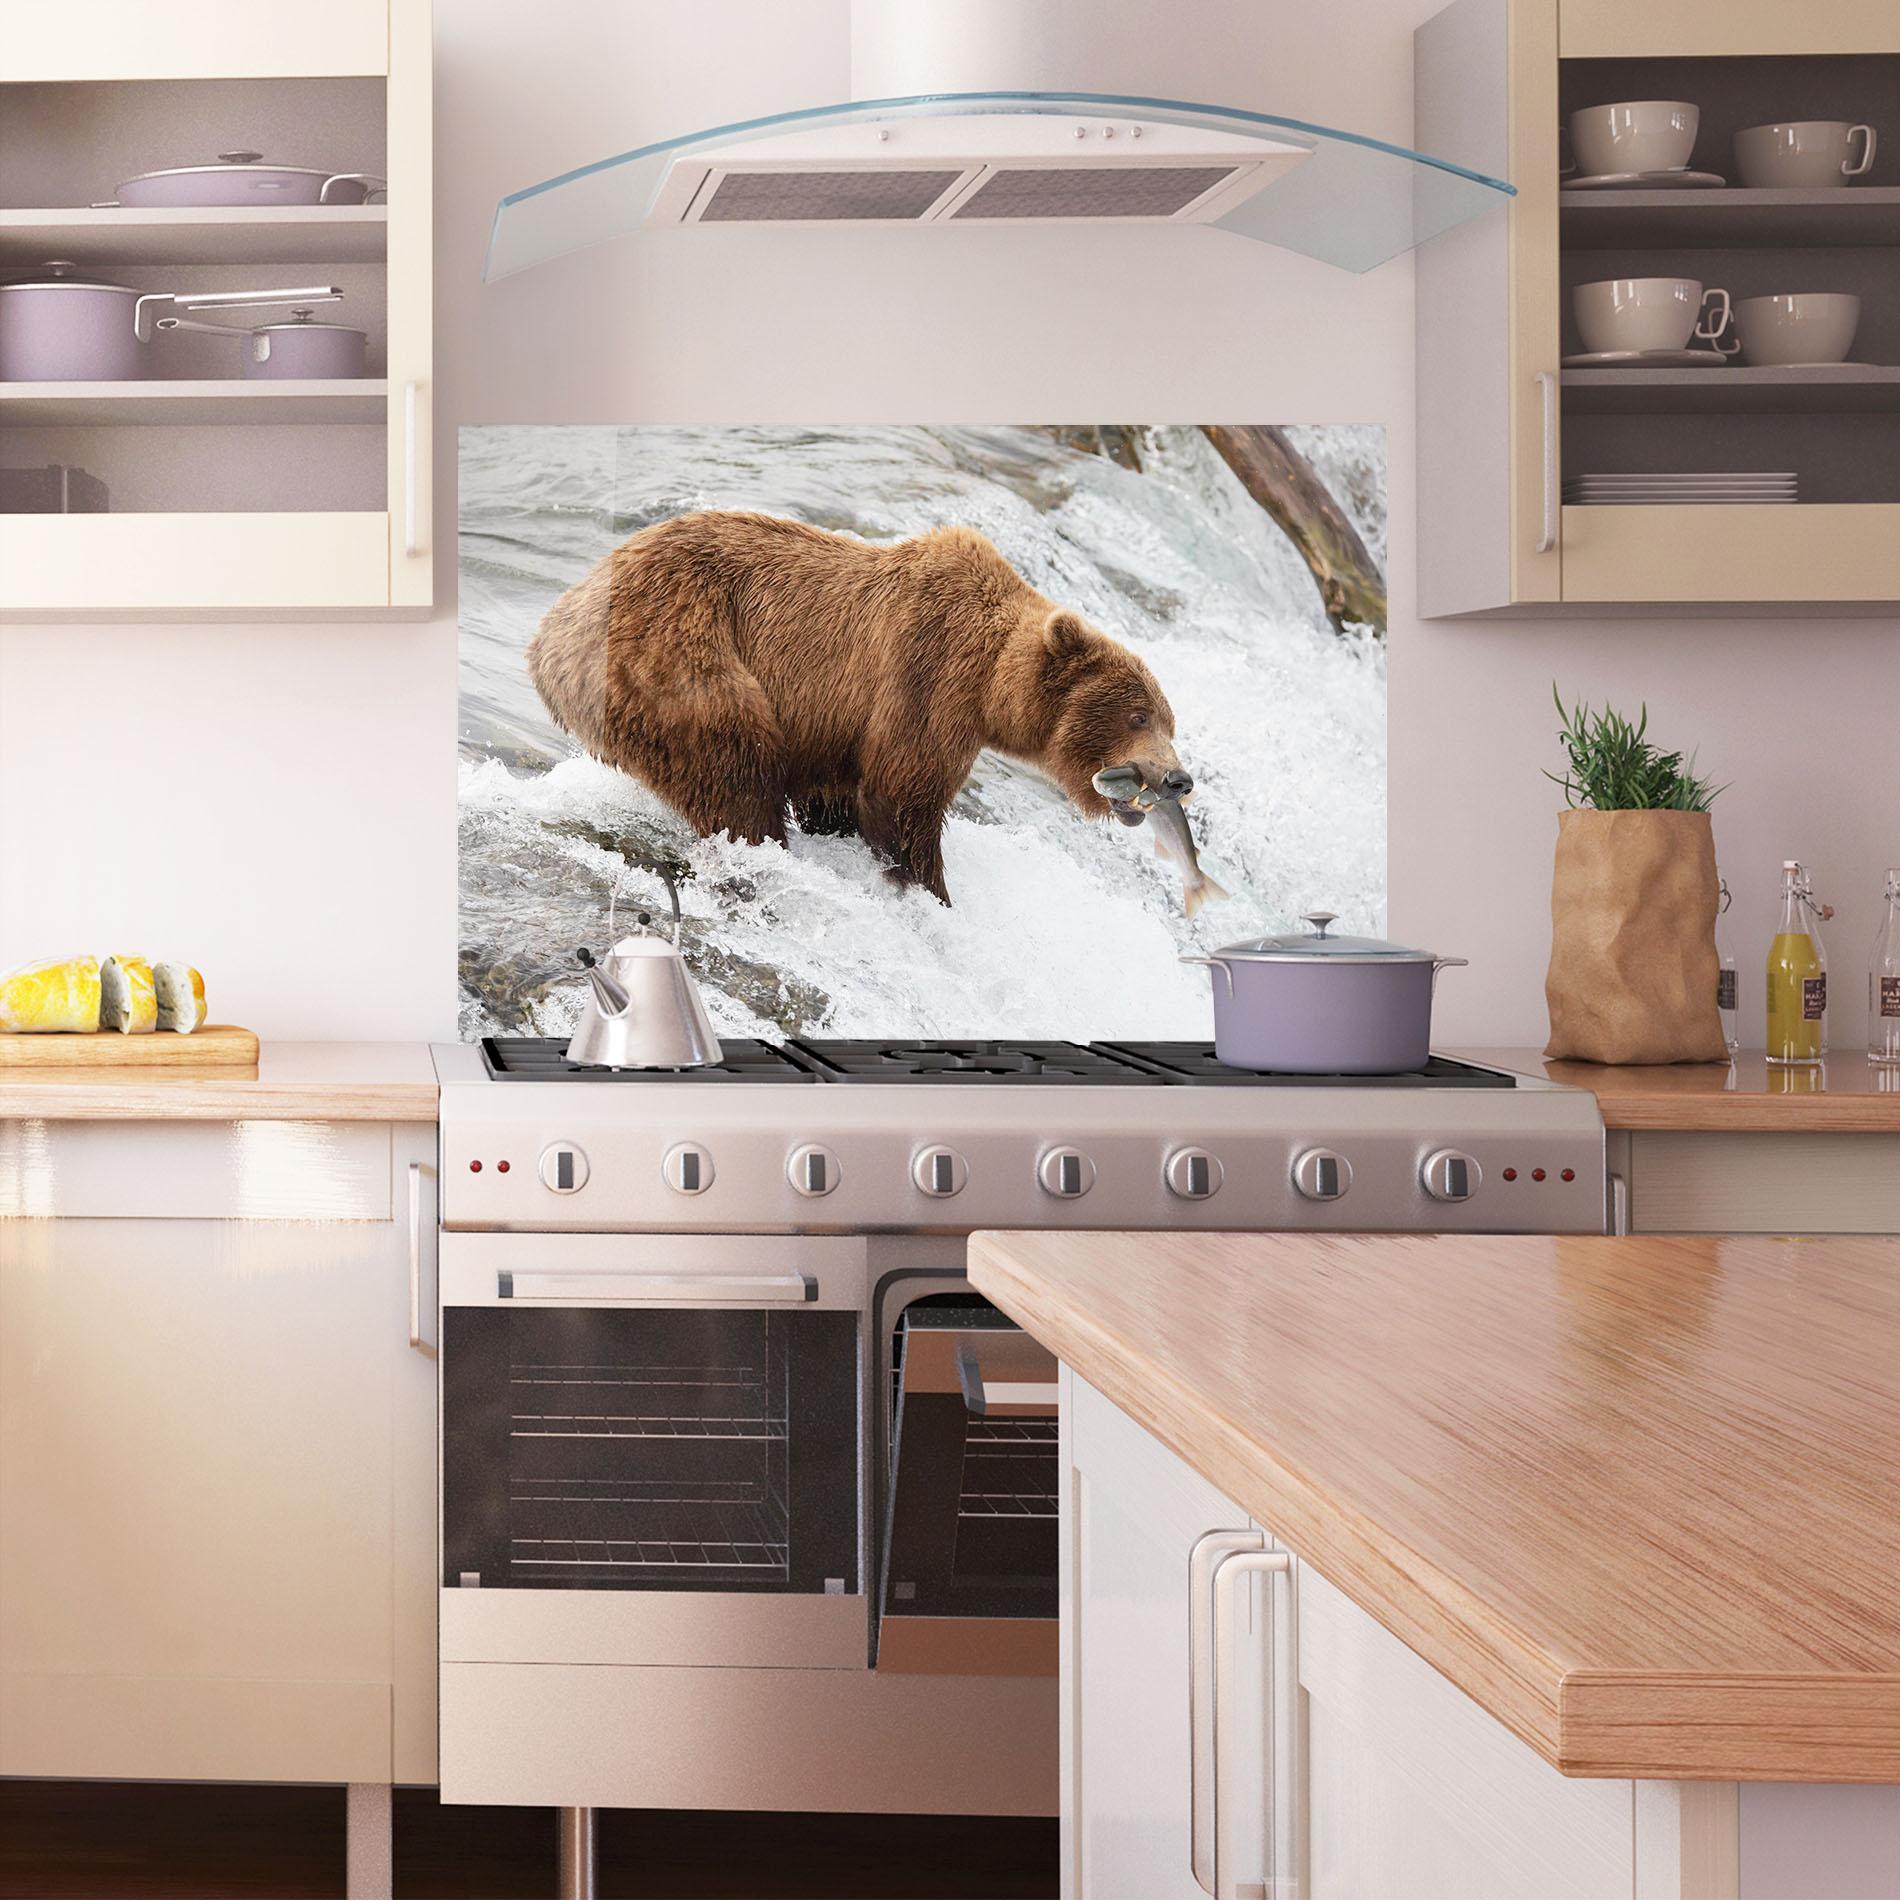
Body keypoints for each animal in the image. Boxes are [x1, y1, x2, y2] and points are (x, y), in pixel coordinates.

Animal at [527, 509, 1192, 906]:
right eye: (1139, 715)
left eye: (1169, 720)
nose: (1178, 779)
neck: (990, 683)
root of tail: (554, 624)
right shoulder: (927, 675)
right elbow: (901, 796)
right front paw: (931, 892)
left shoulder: (836, 729)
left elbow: (840, 796)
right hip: (680, 654)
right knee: (734, 767)